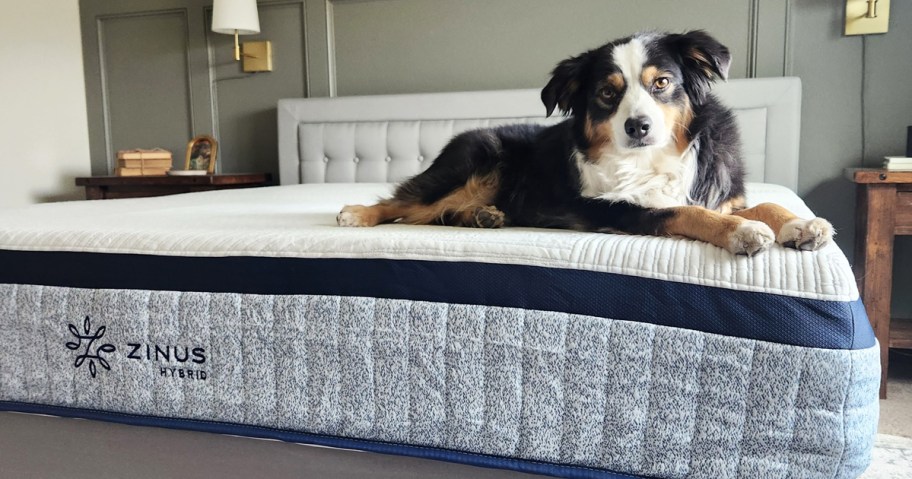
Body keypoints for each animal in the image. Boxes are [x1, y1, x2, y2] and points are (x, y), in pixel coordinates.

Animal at [336, 30, 832, 256]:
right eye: (607, 94)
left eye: (662, 82)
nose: (638, 126)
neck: (655, 160)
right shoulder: (618, 208)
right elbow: (688, 213)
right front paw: (741, 232)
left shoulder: (725, 193)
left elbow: (762, 204)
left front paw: (800, 223)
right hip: (473, 161)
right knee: (405, 202)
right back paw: (357, 213)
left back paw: (485, 216)